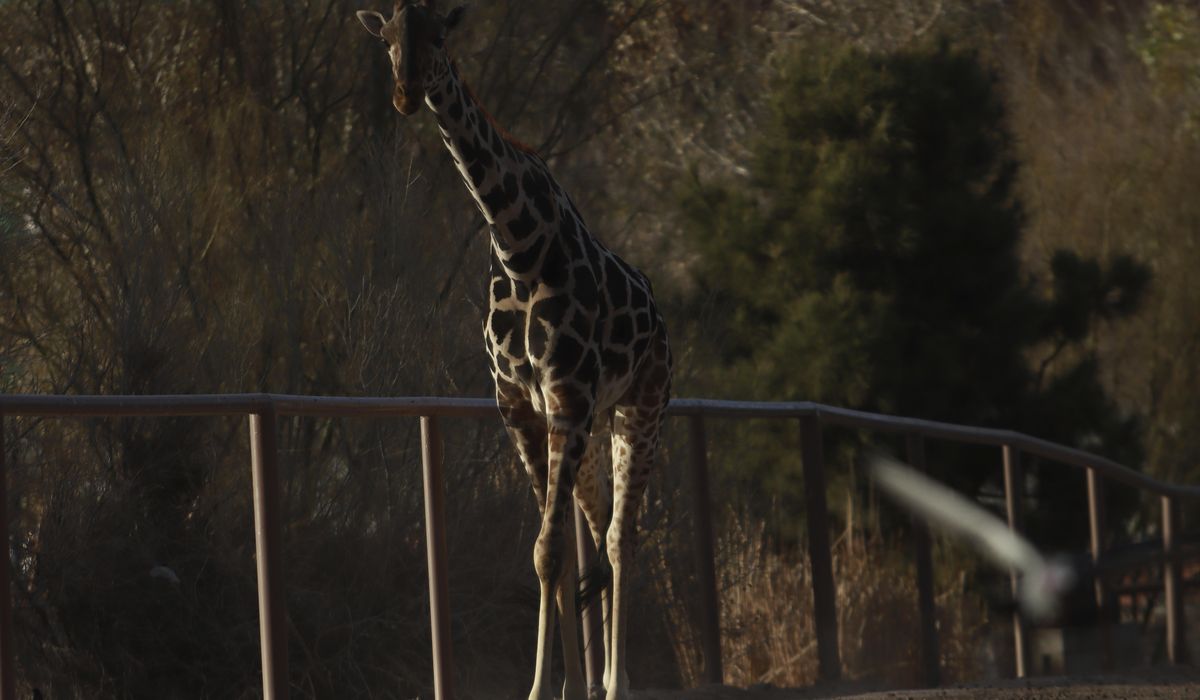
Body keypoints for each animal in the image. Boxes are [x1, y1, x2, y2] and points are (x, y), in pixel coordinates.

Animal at [355, 2, 676, 696]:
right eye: (386, 37)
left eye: (440, 35)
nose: (405, 94)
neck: (518, 246)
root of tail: (661, 318)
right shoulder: (520, 404)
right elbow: (548, 554)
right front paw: (557, 687)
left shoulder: (568, 398)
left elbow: (551, 550)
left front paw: (544, 686)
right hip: (596, 424)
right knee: (596, 527)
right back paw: (594, 680)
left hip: (641, 408)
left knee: (621, 538)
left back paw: (618, 682)